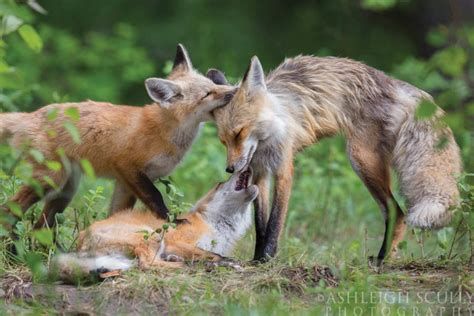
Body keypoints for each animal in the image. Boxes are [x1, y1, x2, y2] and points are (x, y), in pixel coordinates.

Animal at [0, 44, 235, 231]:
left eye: (214, 86)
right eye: (207, 94)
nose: (233, 90)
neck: (163, 132)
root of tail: (29, 115)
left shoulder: (125, 184)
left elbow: (116, 215)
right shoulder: (128, 167)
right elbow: (156, 198)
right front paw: (172, 222)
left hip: (66, 190)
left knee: (40, 229)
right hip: (50, 179)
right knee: (8, 211)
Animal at [53, 169, 258, 280]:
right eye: (220, 183)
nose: (245, 166)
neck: (217, 226)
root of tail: (81, 240)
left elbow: (214, 254)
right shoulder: (177, 242)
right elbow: (215, 255)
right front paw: (228, 263)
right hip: (153, 235)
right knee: (146, 264)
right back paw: (190, 266)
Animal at [209, 55, 462, 264]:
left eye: (239, 133)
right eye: (223, 140)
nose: (230, 169)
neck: (266, 139)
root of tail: (393, 82)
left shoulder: (283, 169)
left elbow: (274, 223)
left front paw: (267, 259)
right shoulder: (259, 173)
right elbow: (261, 225)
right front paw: (257, 258)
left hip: (360, 159)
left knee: (395, 211)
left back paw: (381, 260)